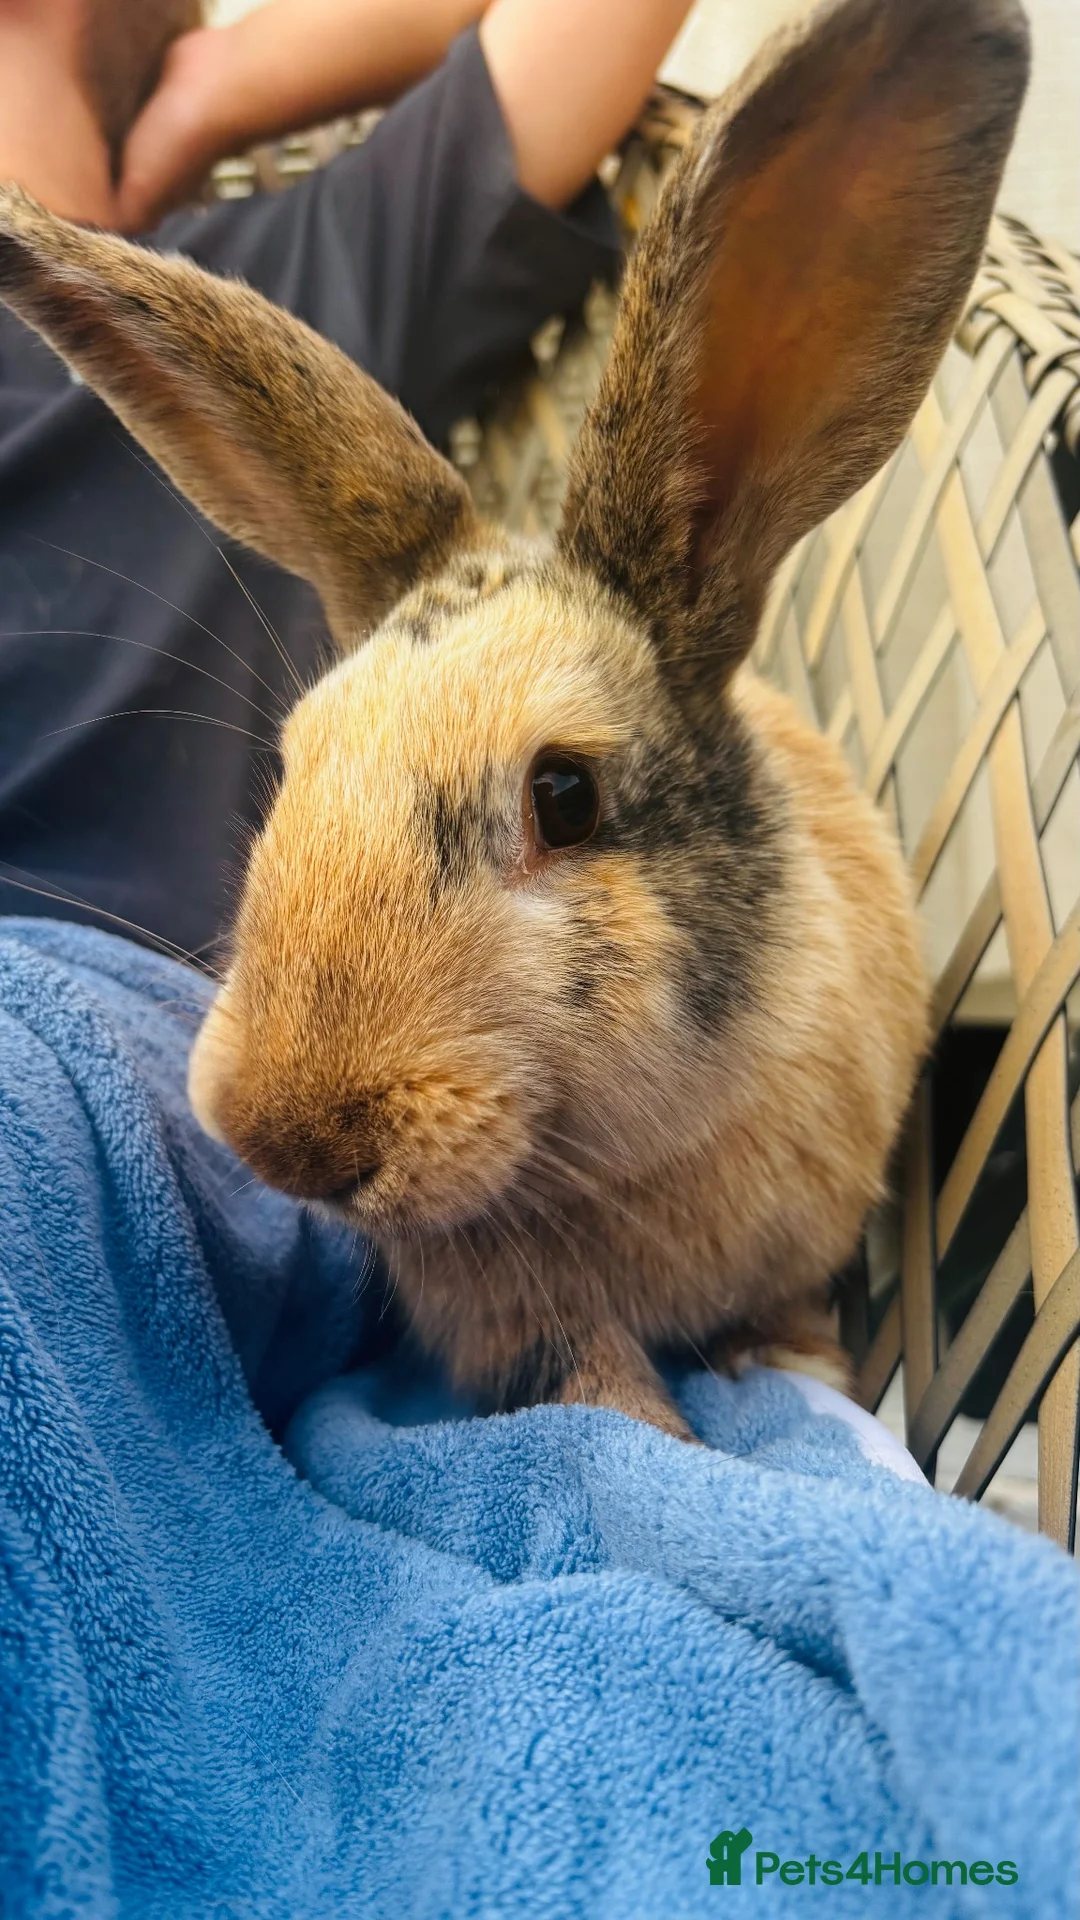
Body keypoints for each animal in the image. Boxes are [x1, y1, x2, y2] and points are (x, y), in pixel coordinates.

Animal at [0, 0, 1028, 1440]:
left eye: (565, 797)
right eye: (296, 762)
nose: (285, 1135)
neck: (610, 1157)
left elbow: (778, 1326)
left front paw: (796, 1371)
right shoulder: (528, 1330)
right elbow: (594, 1384)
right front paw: (660, 1430)